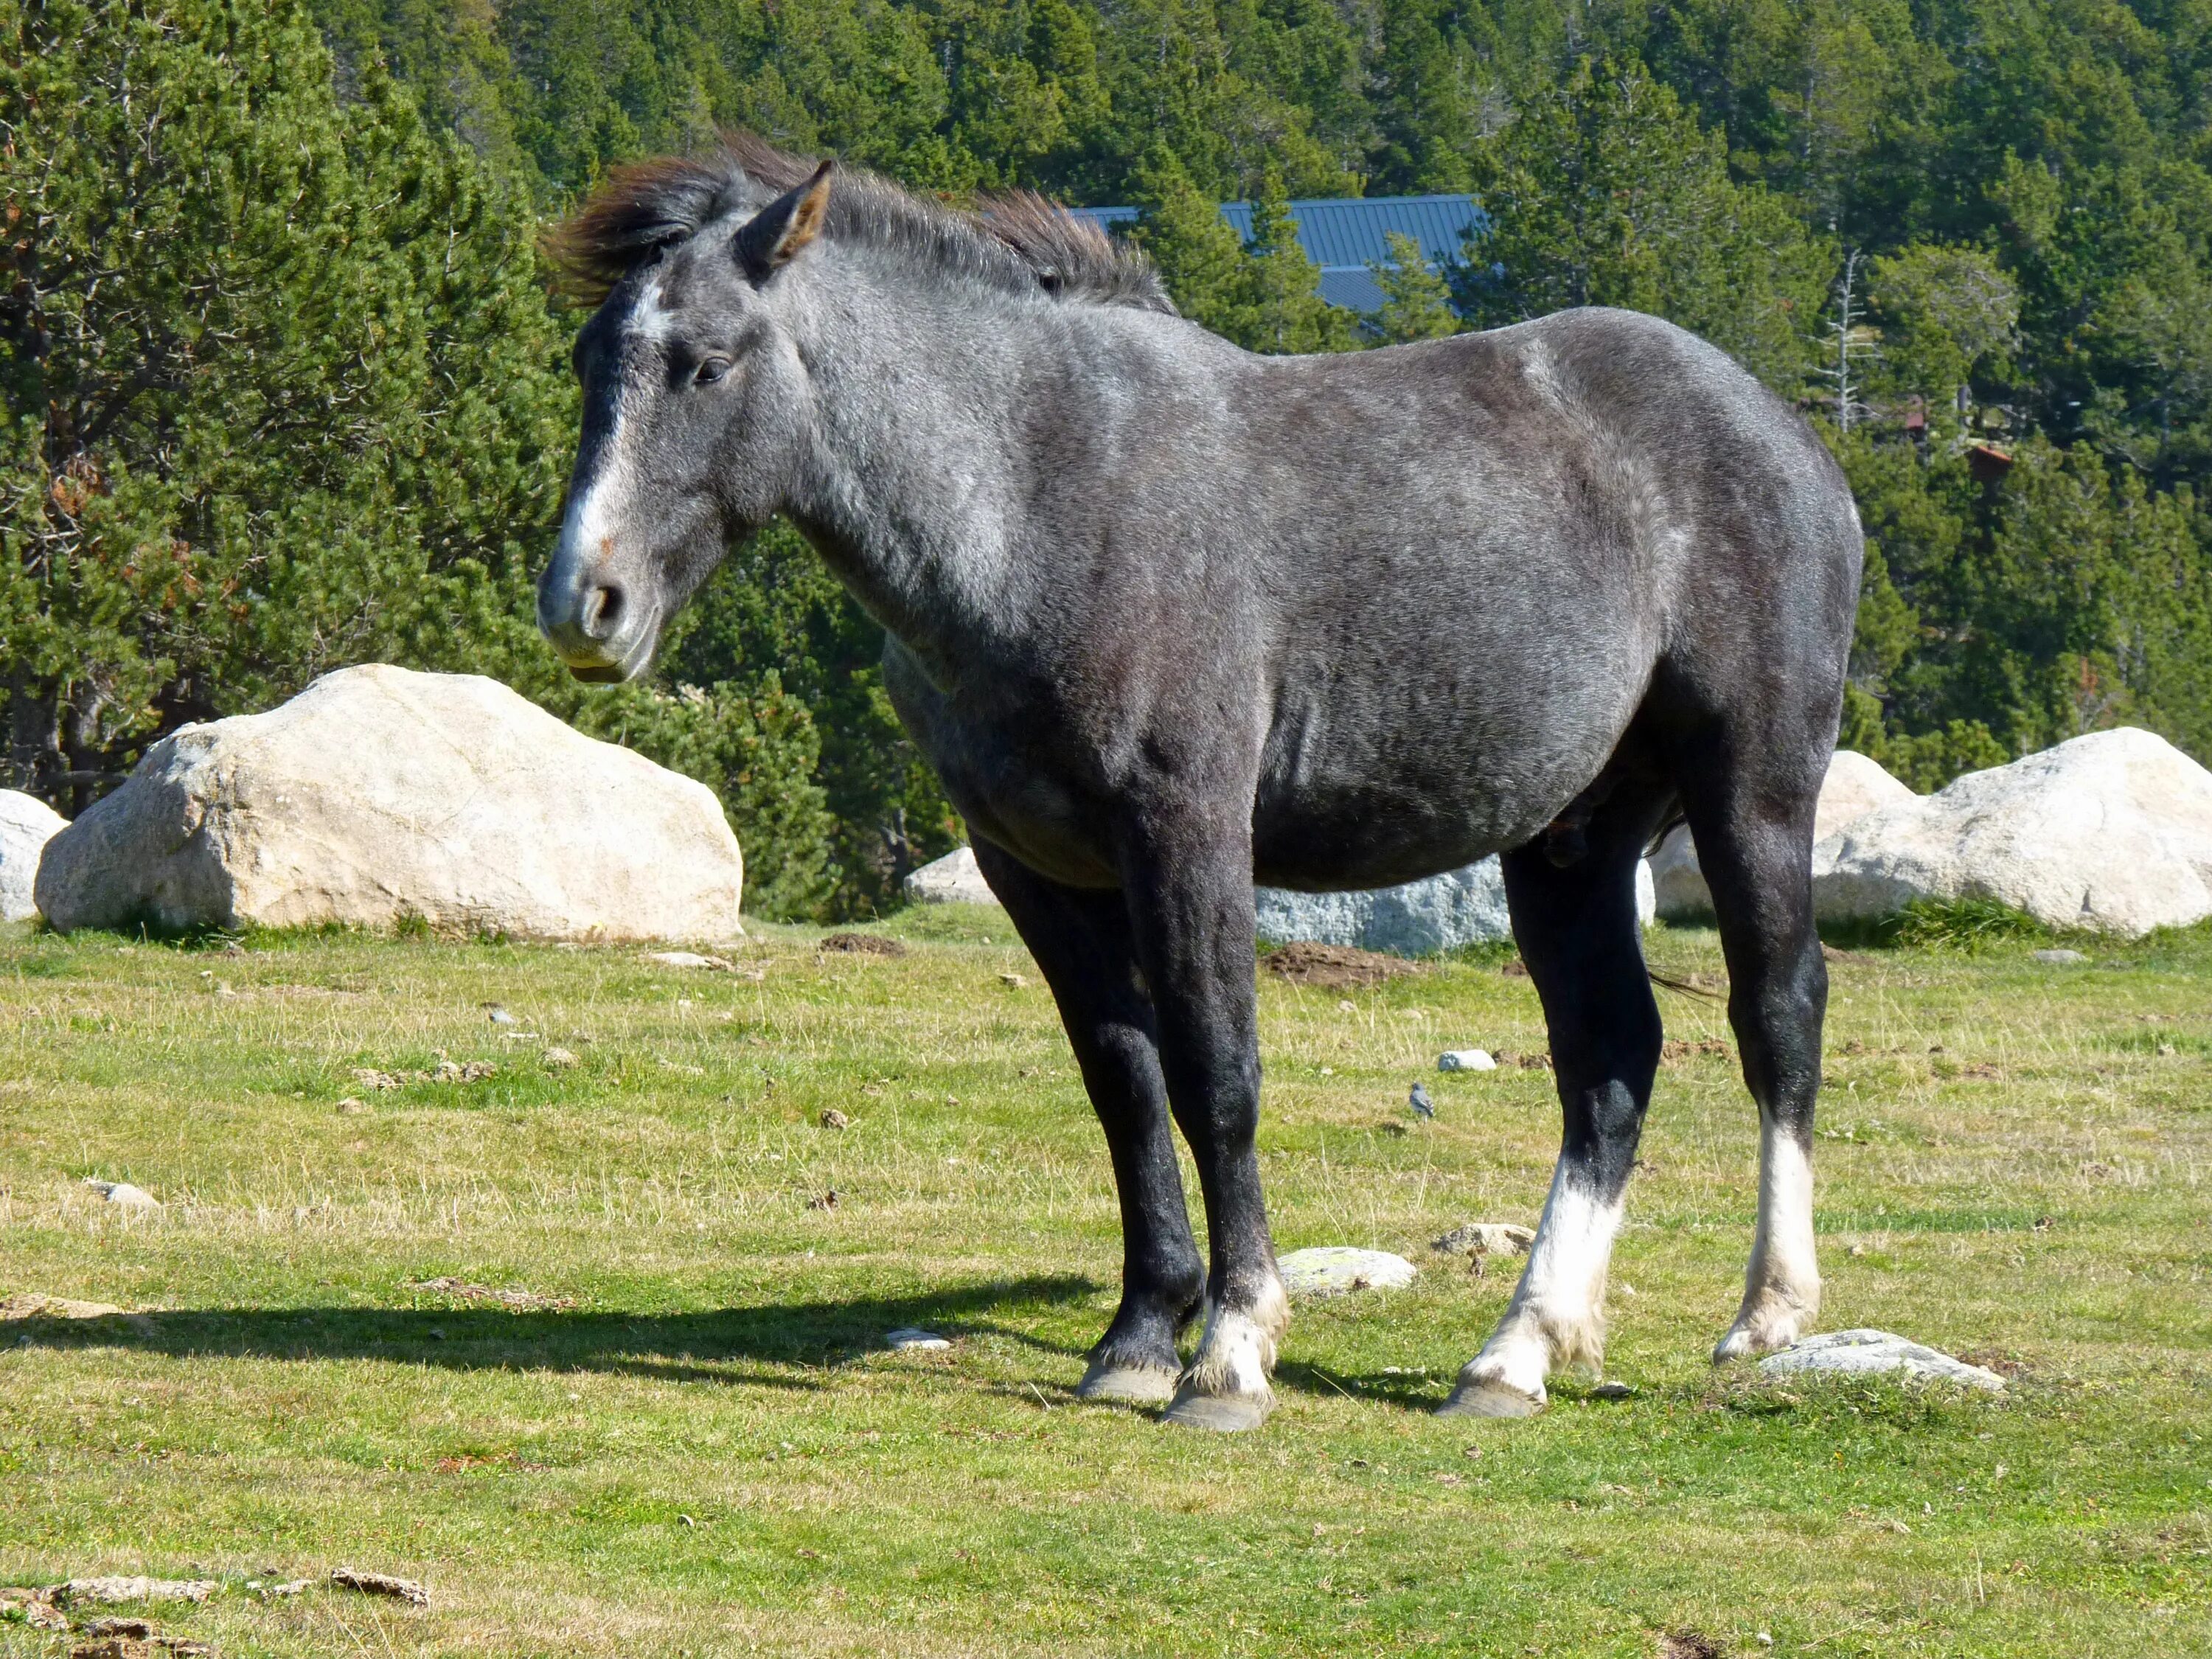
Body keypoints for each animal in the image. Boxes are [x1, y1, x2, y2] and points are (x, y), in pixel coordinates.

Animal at [540, 142, 1867, 1433]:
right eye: (591, 358)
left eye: (707, 364)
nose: (584, 602)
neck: (1042, 493)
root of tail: (1788, 436)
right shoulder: (1035, 867)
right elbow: (1125, 1084)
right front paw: (1138, 1336)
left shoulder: (1186, 835)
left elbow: (1216, 1076)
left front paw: (1229, 1352)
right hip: (1569, 838)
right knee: (1609, 1054)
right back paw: (1515, 1353)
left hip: (1750, 788)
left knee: (1777, 1012)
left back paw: (1766, 1313)